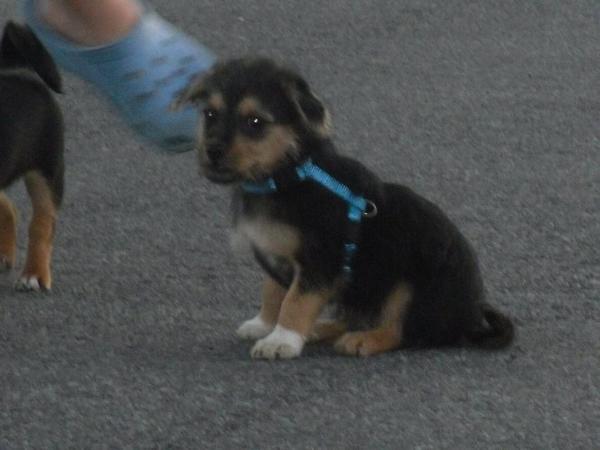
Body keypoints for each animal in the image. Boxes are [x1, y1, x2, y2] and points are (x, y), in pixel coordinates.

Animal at [174, 58, 514, 359]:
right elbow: (272, 292)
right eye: (210, 114)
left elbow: (295, 300)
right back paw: (322, 328)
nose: (212, 151)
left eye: (255, 122)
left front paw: (282, 340)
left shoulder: (321, 259)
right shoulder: (278, 256)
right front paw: (265, 324)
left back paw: (364, 339)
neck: (288, 176)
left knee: (401, 330)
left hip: (411, 287)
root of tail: (470, 319)